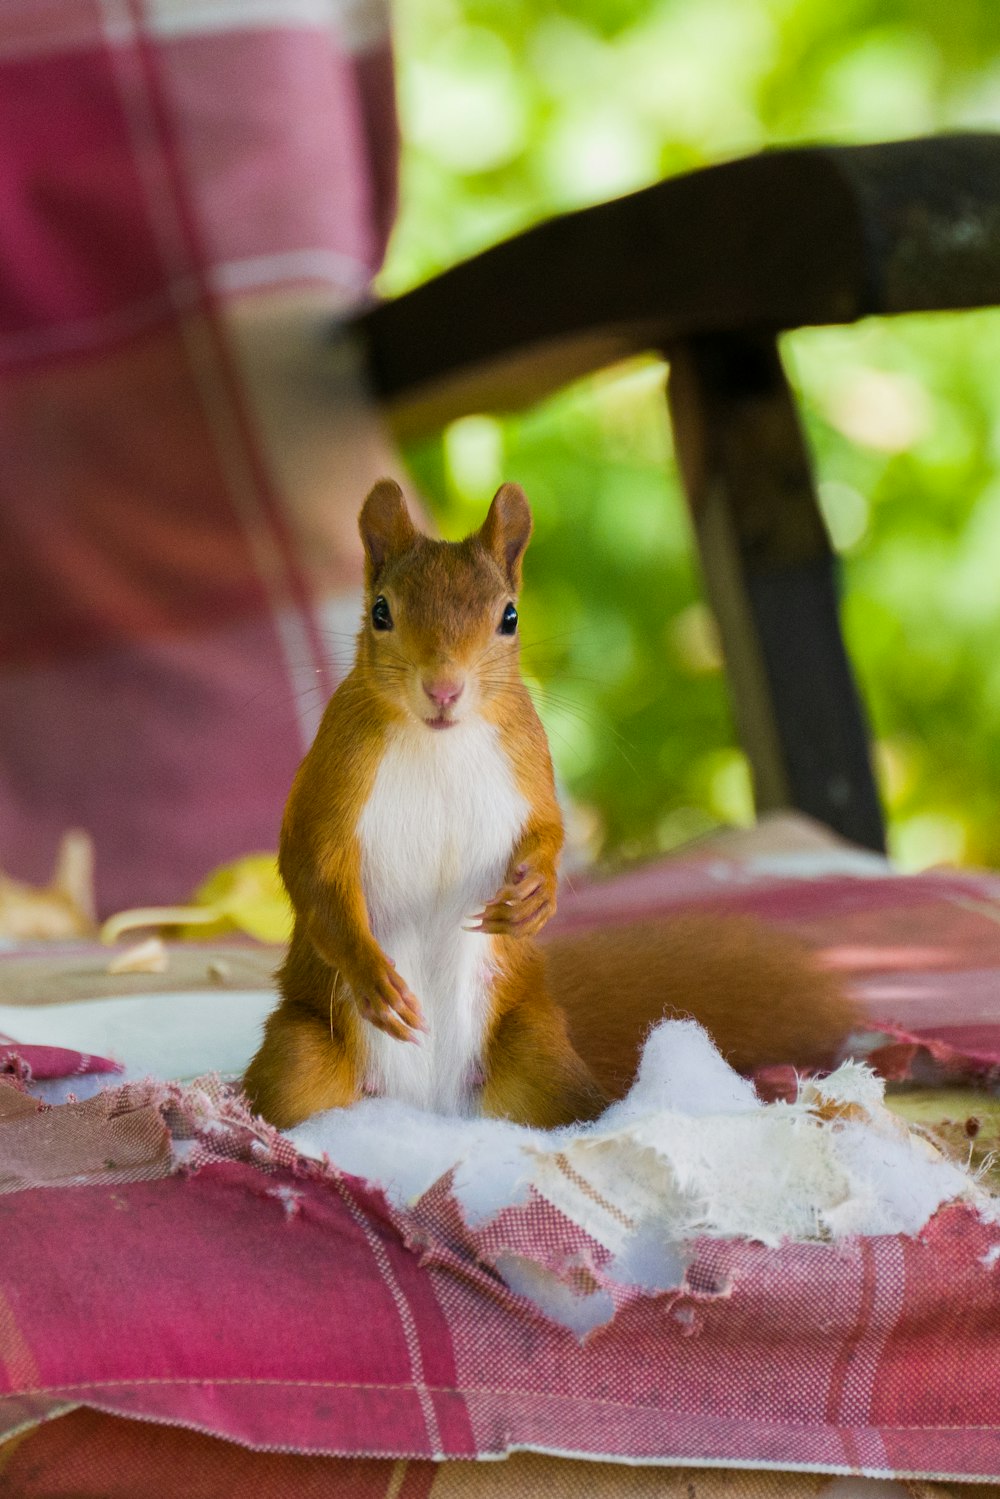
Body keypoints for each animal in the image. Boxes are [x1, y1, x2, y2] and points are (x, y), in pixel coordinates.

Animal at [242, 479, 863, 1127]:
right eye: (381, 611)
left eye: (509, 616)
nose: (443, 689)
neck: (439, 742)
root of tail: (436, 1109)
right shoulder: (332, 780)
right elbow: (312, 870)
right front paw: (371, 975)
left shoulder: (529, 761)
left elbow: (548, 829)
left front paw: (537, 896)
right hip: (303, 1059)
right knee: (288, 1091)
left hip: (534, 1050)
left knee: (576, 1106)